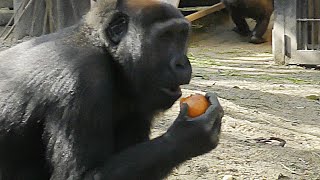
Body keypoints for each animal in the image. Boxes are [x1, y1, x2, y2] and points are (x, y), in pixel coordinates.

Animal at [0, 0, 224, 179]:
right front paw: (187, 137)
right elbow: (80, 176)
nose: (182, 64)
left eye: (182, 35)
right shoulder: (83, 79)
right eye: (165, 37)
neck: (105, 50)